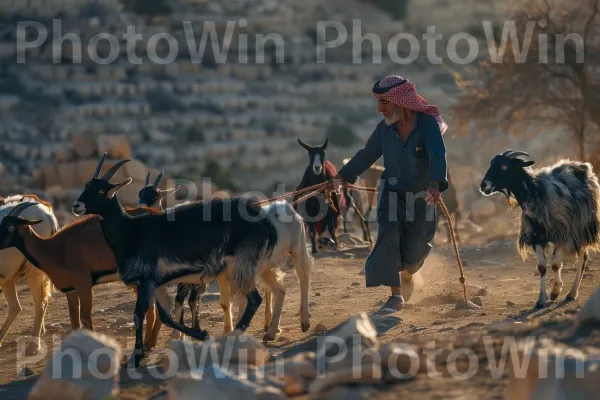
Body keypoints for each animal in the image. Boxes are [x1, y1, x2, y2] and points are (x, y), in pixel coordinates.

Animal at [71, 155, 310, 368]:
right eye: (86, 185)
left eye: (101, 190)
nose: (77, 206)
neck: (131, 232)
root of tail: (264, 220)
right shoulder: (156, 283)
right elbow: (165, 315)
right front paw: (198, 333)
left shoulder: (147, 280)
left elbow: (139, 315)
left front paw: (136, 358)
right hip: (254, 266)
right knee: (271, 291)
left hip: (246, 264)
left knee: (258, 297)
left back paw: (238, 335)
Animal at [480, 150, 600, 310]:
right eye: (492, 163)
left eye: (504, 166)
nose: (483, 185)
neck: (537, 193)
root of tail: (581, 166)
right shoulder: (536, 236)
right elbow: (542, 267)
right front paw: (541, 300)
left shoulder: (563, 233)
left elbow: (555, 264)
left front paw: (555, 291)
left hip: (583, 226)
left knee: (583, 258)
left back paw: (572, 293)